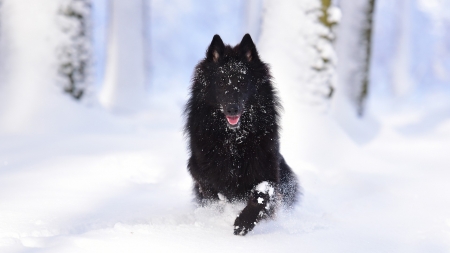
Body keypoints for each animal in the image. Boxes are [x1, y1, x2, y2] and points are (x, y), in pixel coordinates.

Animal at [183, 33, 298, 235]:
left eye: (243, 82)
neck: (234, 140)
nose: (232, 109)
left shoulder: (267, 169)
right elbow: (212, 192)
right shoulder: (199, 168)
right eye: (221, 82)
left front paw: (244, 222)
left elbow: (261, 196)